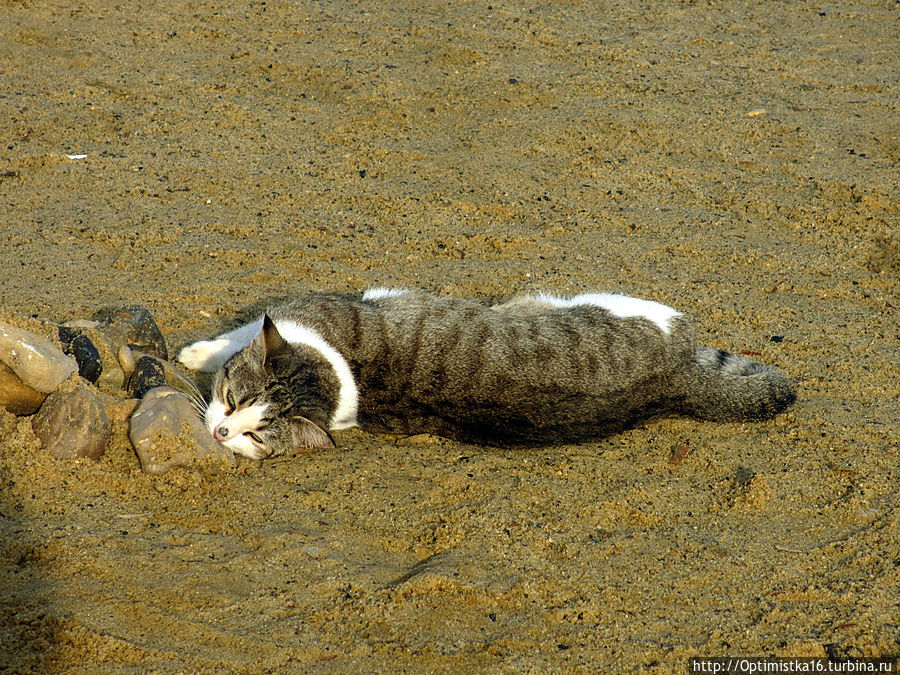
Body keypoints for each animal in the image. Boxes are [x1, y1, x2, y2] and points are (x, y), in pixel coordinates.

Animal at [176, 288, 796, 462]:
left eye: (256, 432)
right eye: (233, 402)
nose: (221, 433)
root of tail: (675, 376)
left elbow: (239, 331)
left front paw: (197, 350)